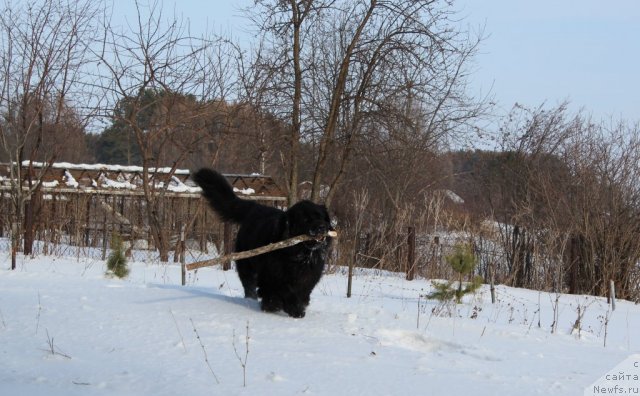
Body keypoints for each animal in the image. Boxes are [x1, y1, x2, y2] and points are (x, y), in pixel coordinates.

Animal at [191, 168, 332, 318]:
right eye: (305, 220)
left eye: (321, 217)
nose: (321, 227)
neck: (298, 254)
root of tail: (255, 207)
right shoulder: (274, 275)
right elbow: (284, 290)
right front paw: (290, 308)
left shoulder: (310, 276)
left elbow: (302, 292)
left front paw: (297, 306)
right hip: (246, 262)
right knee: (249, 283)